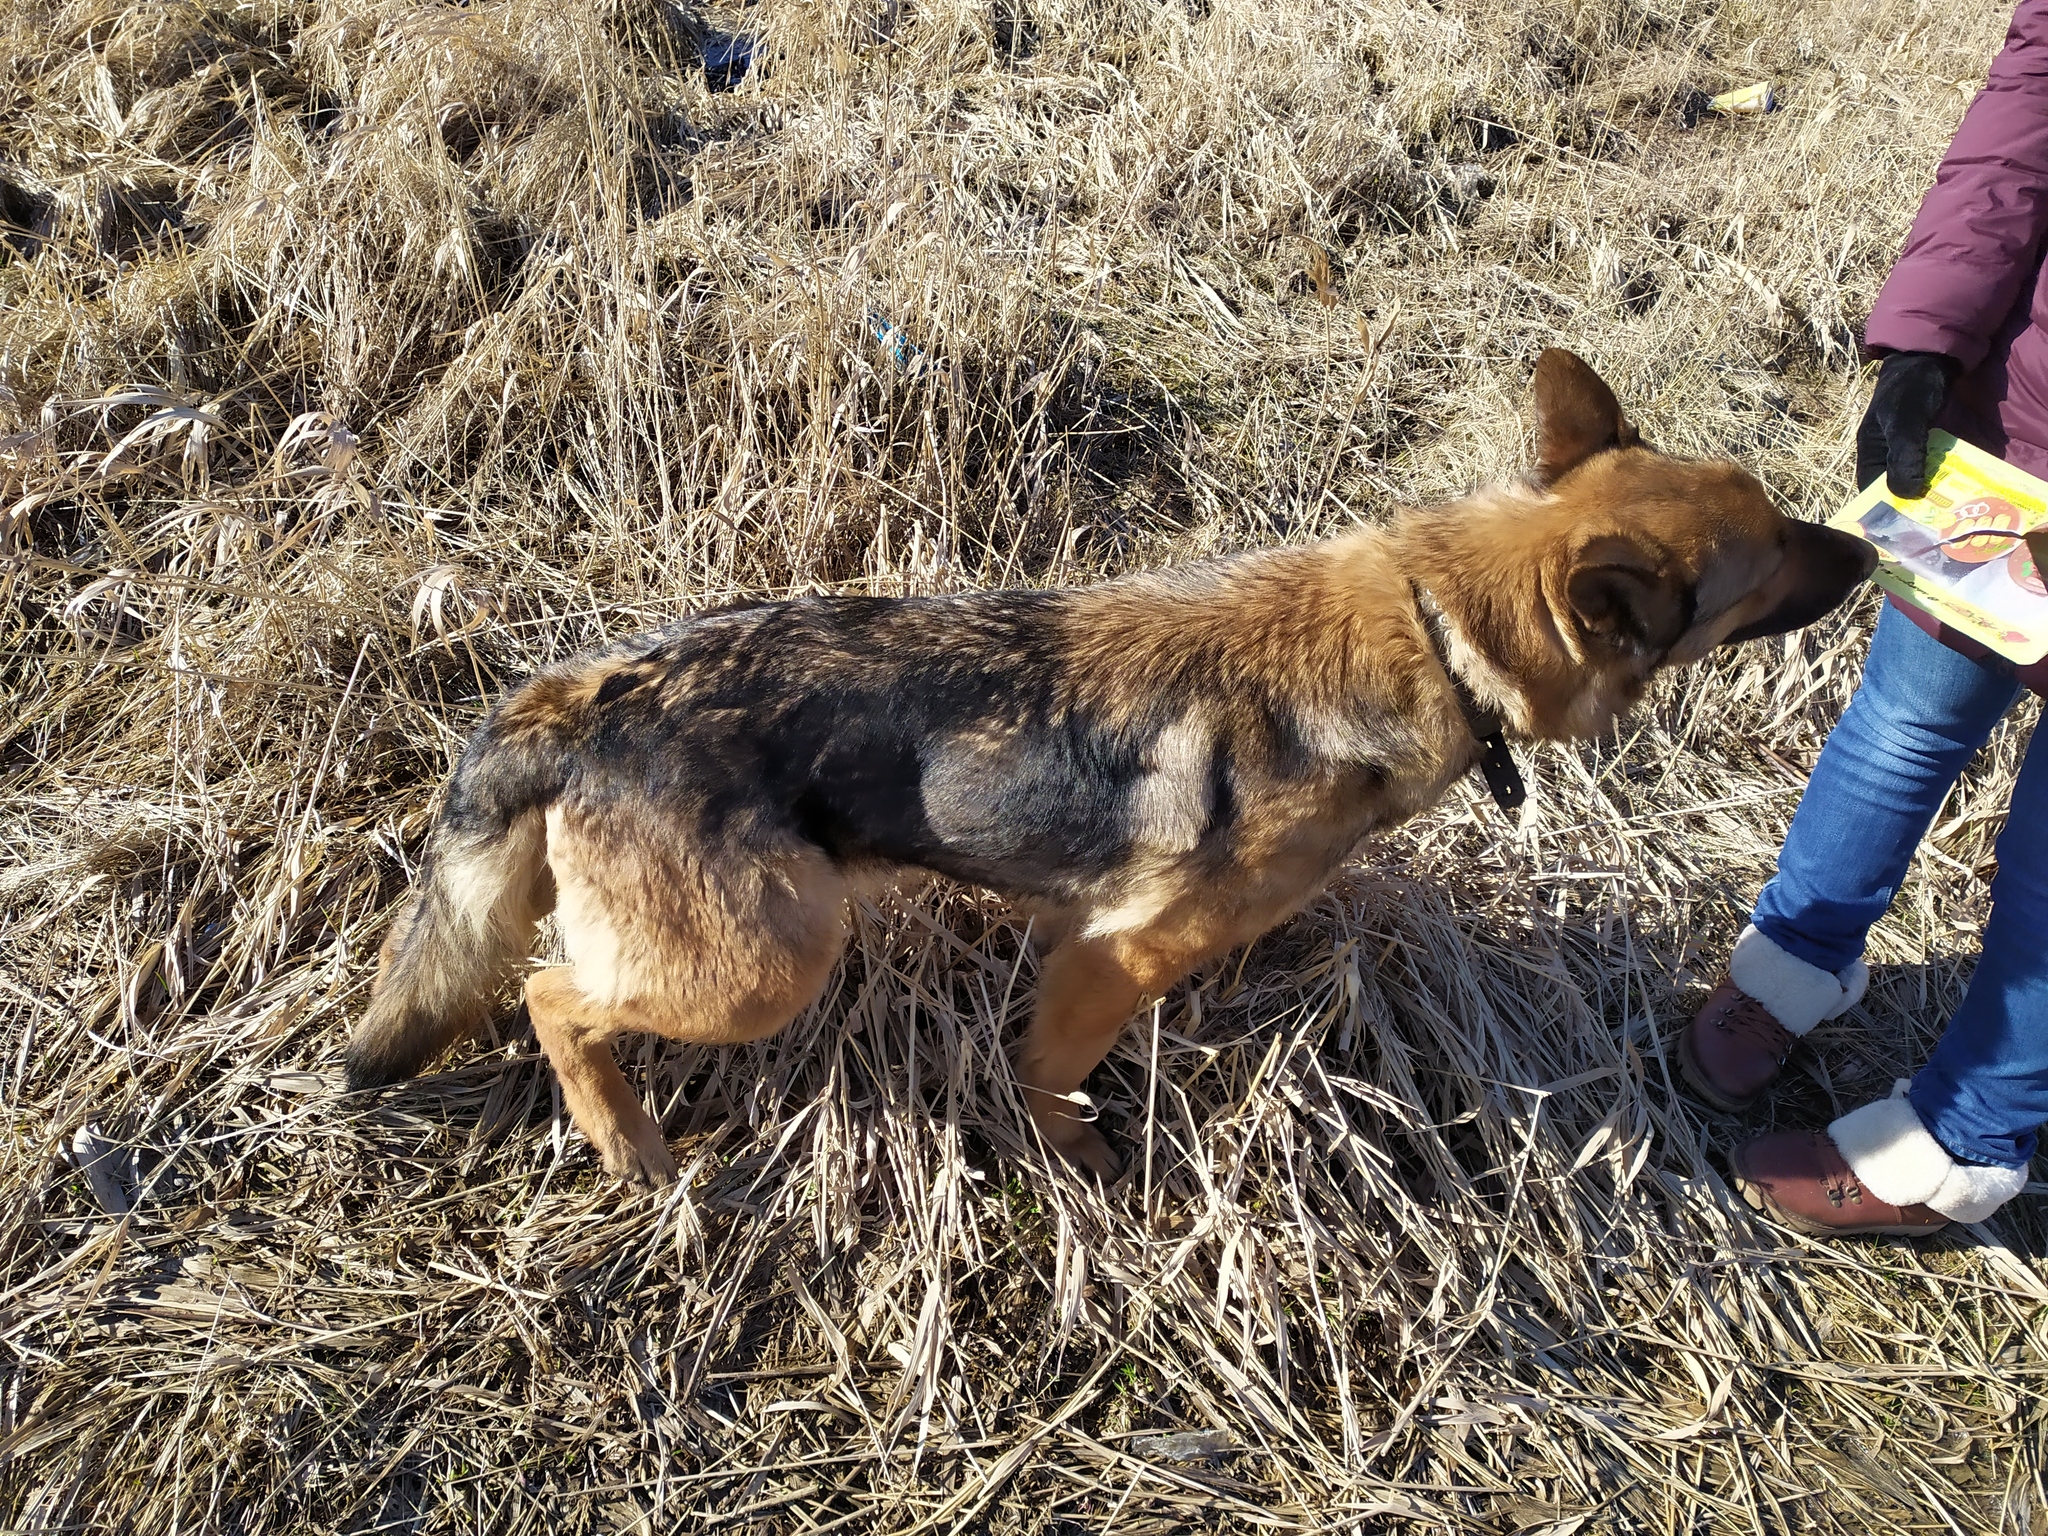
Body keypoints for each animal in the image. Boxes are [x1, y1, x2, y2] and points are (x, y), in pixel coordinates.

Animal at [344, 354, 1875, 1187]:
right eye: (1766, 566)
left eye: (1773, 513)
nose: (1873, 542)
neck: (1434, 627)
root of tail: (586, 694)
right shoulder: (1113, 956)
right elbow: (1051, 1081)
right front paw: (1079, 1173)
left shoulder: (1082, 938)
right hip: (764, 964)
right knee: (551, 997)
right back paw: (629, 1144)